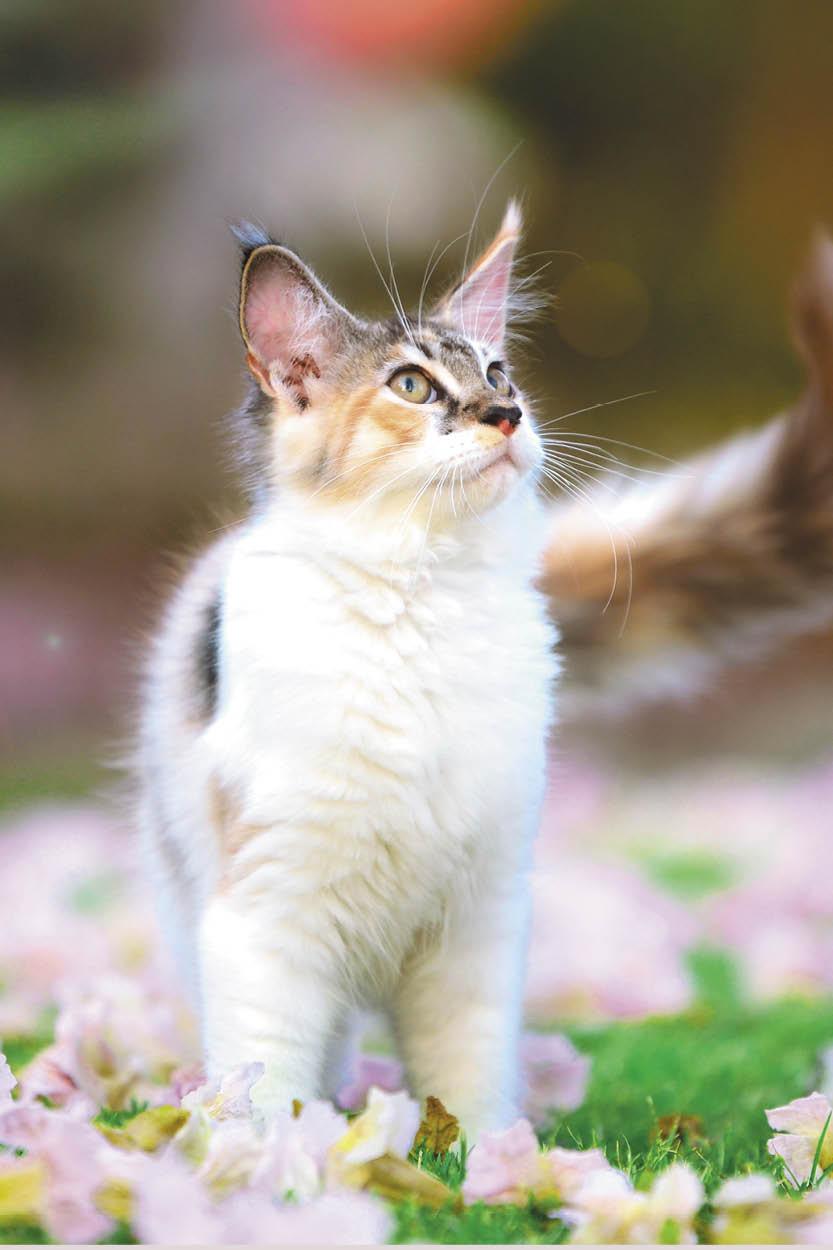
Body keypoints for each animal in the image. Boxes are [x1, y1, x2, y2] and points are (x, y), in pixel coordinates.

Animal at [139, 202, 557, 1135]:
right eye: (412, 387)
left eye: (498, 372)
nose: (508, 414)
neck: (420, 596)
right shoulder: (264, 912)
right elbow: (263, 1078)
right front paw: (275, 1164)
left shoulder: (478, 919)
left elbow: (467, 1074)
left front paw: (485, 1160)